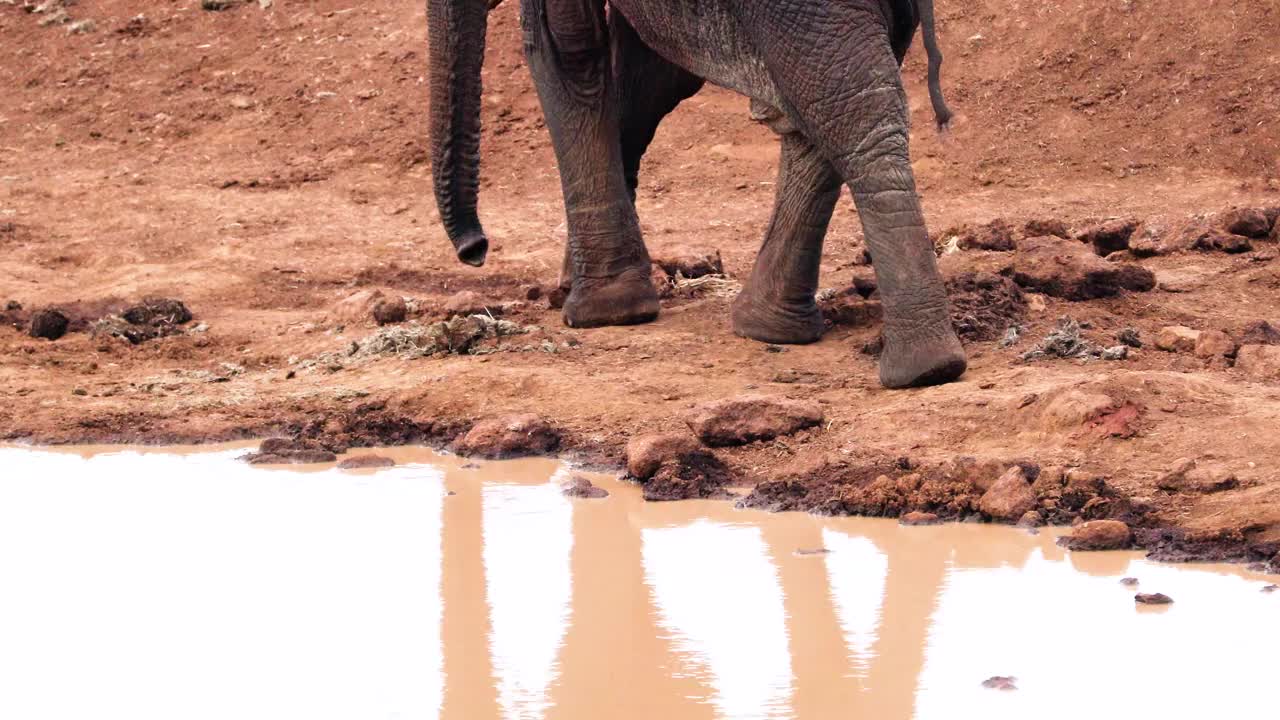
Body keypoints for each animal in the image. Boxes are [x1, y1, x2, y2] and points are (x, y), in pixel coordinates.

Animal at [424, 0, 962, 386]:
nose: (476, 249)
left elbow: (567, 48)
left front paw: (602, 312)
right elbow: (644, 75)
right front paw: (576, 289)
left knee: (844, 113)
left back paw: (921, 368)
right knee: (835, 114)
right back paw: (774, 329)